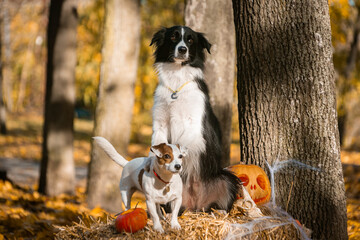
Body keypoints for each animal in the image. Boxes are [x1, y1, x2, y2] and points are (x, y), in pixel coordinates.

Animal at [150, 26, 240, 212]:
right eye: (173, 37)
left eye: (190, 40)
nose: (182, 49)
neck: (177, 82)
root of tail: (196, 204)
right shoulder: (160, 123)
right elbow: (158, 144)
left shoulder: (194, 125)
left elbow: (182, 143)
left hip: (226, 179)